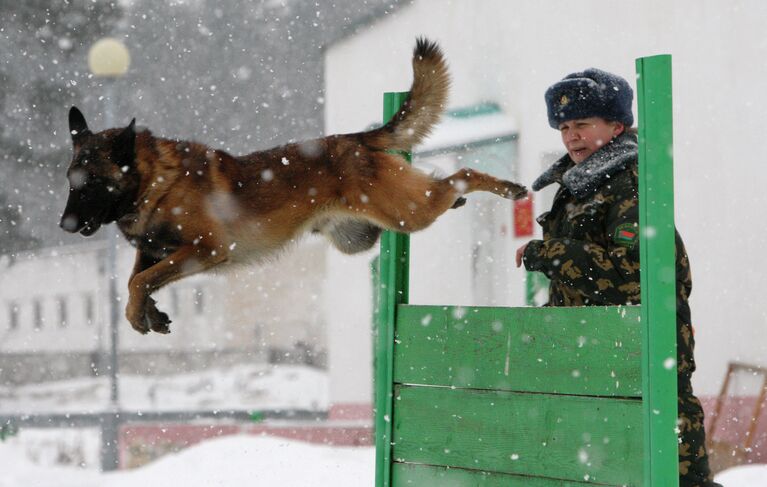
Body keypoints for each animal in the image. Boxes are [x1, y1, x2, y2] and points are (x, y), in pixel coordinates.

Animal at [60, 39, 528, 336]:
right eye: (70, 181)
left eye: (93, 183)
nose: (65, 225)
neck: (156, 179)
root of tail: (357, 138)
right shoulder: (158, 250)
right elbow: (138, 279)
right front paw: (150, 314)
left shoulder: (205, 249)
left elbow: (141, 281)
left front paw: (140, 313)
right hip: (362, 235)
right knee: (441, 184)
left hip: (406, 212)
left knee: (461, 172)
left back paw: (507, 187)